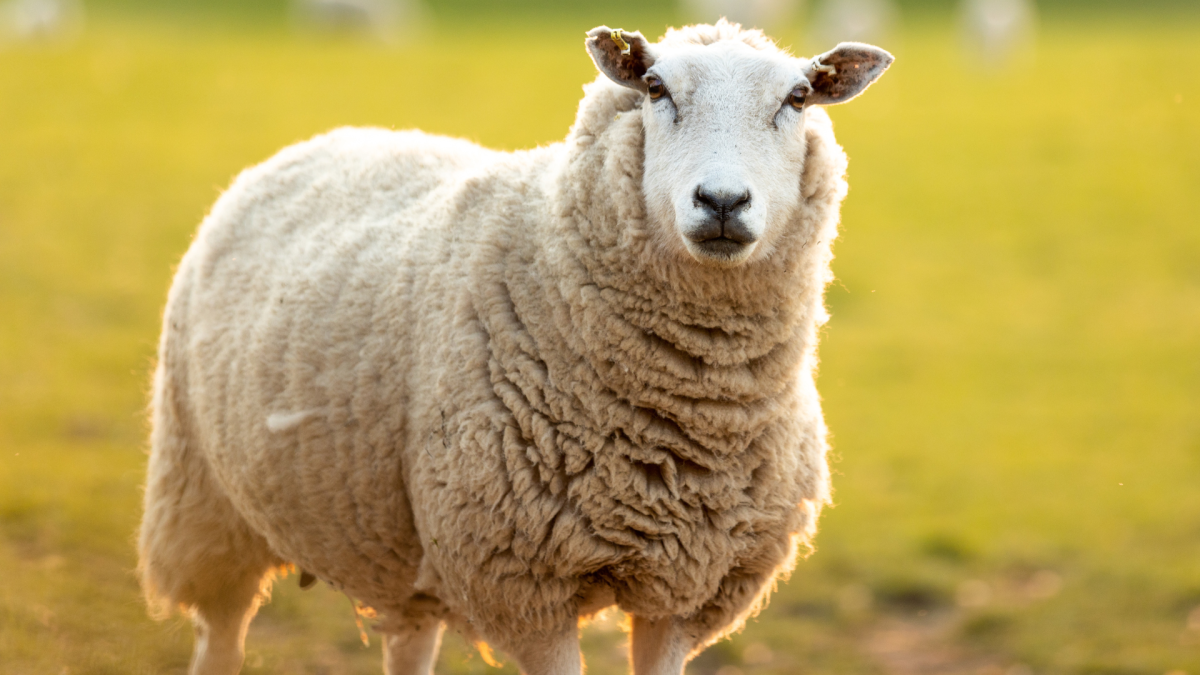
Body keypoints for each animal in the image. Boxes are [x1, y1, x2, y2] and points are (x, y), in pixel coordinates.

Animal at [138, 19, 892, 672]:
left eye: (797, 98)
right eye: (655, 88)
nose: (723, 201)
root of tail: (326, 136)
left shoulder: (687, 588)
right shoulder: (521, 582)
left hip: (403, 547)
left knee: (408, 642)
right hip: (203, 503)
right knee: (221, 634)